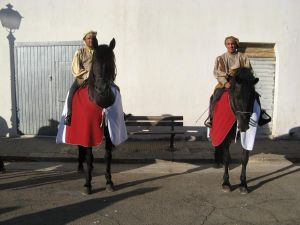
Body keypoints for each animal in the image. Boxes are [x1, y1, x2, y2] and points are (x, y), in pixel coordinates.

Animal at [77, 38, 117, 193]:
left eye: (111, 61)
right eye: (95, 61)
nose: (102, 89)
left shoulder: (109, 132)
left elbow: (108, 155)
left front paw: (109, 181)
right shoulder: (88, 130)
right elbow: (88, 156)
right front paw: (87, 184)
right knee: (81, 148)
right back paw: (80, 167)